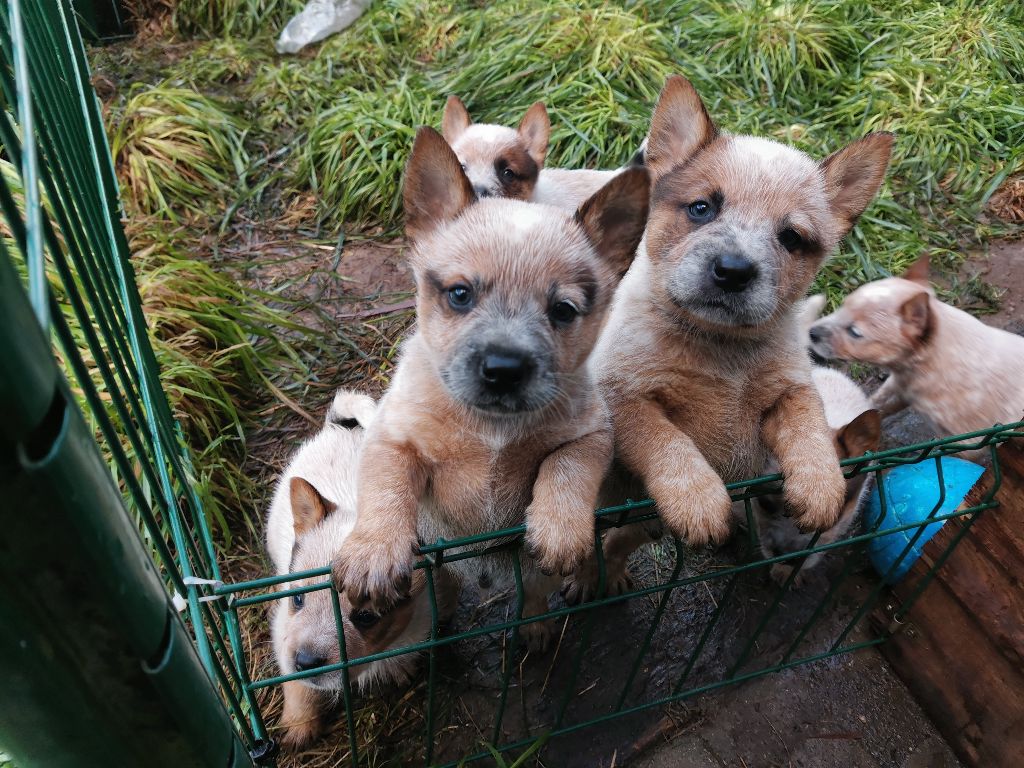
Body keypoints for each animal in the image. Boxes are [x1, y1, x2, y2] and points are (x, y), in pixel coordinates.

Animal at [266, 391, 454, 753]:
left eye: (366, 617)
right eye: (297, 599)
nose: (305, 662)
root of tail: (340, 428)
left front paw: (397, 668)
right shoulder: (284, 631)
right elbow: (297, 685)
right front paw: (299, 724)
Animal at [327, 126, 647, 651]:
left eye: (563, 310)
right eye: (460, 294)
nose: (504, 368)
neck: (491, 427)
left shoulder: (592, 433)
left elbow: (567, 468)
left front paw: (560, 528)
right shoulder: (394, 439)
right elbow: (386, 486)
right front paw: (374, 550)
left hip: (531, 570)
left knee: (532, 594)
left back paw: (534, 627)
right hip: (437, 570)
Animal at [569, 73, 897, 602]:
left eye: (792, 238)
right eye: (702, 208)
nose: (733, 270)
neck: (719, 350)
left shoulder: (789, 389)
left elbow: (808, 424)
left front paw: (820, 487)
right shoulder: (623, 397)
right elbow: (665, 441)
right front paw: (699, 499)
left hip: (648, 521)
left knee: (620, 539)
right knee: (604, 536)